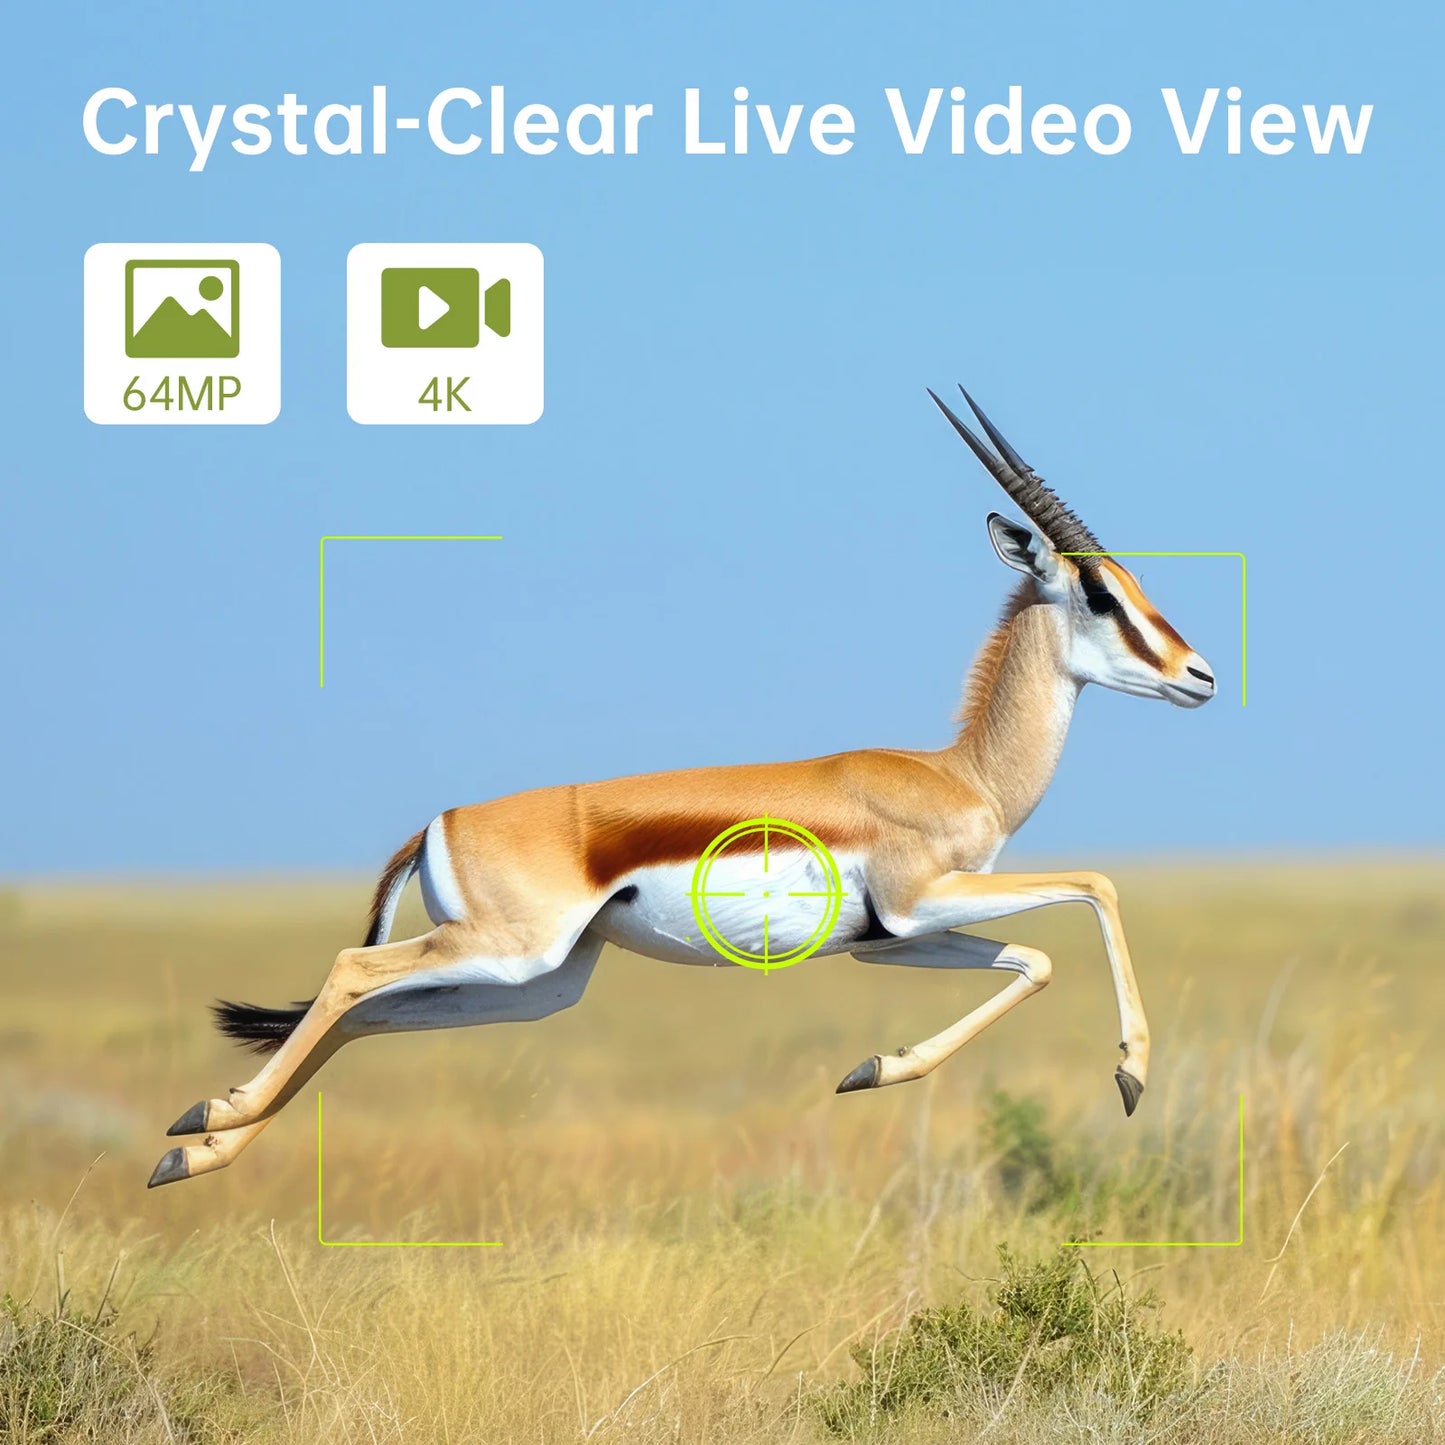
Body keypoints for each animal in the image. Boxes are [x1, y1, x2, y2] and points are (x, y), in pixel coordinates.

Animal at [149, 387, 1216, 1188]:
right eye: (1100, 594)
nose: (1198, 674)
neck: (959, 773)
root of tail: (437, 822)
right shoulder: (924, 902)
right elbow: (1094, 889)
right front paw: (1128, 1074)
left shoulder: (894, 941)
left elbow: (1032, 959)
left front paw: (873, 1068)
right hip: (505, 953)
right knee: (348, 972)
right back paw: (206, 1114)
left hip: (534, 984)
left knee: (366, 1010)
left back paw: (194, 1151)